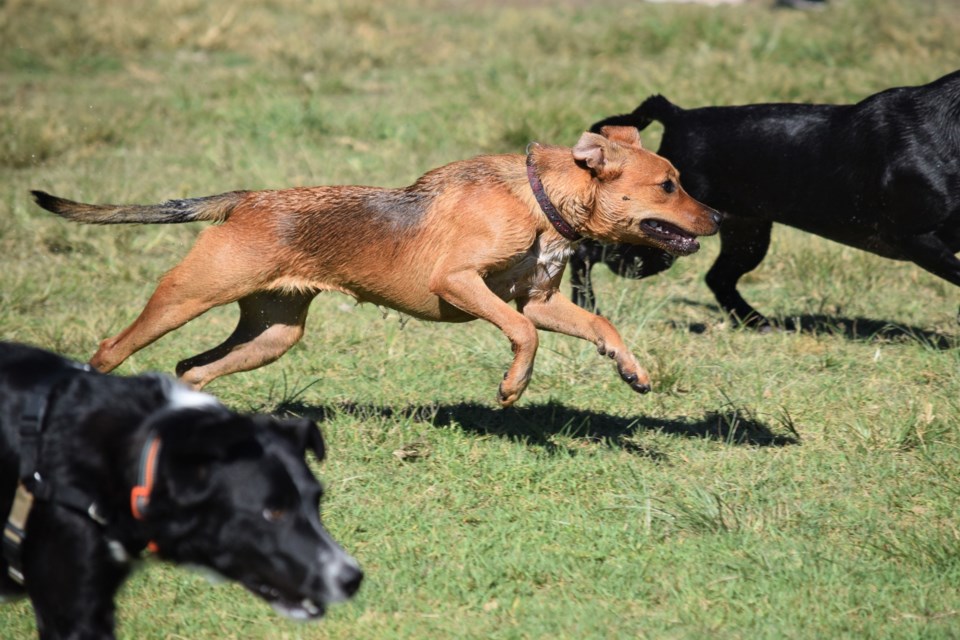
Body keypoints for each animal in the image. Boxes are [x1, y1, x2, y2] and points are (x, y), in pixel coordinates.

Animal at [31, 126, 720, 404]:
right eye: (668, 186)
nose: (716, 217)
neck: (540, 199)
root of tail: (246, 200)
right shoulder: (460, 283)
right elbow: (522, 335)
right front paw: (512, 386)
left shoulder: (542, 300)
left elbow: (599, 326)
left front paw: (631, 370)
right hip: (185, 296)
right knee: (111, 350)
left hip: (273, 333)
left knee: (190, 369)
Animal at [572, 70, 960, 328]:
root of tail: (679, 116)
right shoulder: (913, 237)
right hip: (655, 243)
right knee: (587, 251)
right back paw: (586, 304)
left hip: (746, 235)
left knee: (719, 278)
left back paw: (757, 321)